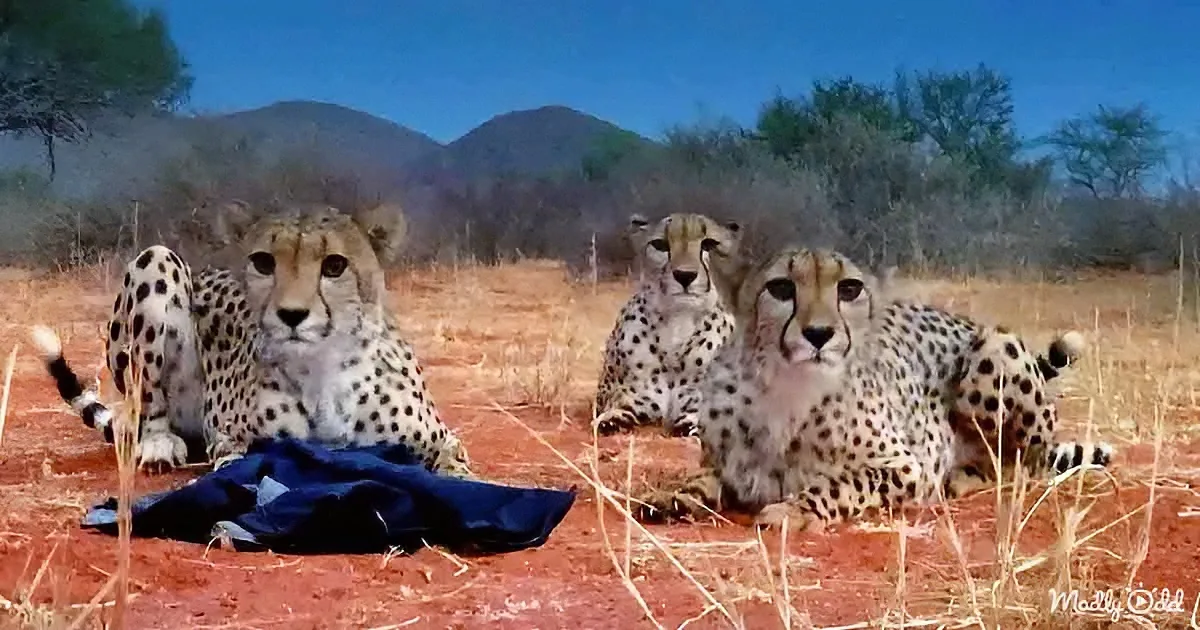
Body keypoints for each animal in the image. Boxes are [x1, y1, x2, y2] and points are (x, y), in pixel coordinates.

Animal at [31, 200, 471, 477]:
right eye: (263, 262)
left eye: (335, 265)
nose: (291, 315)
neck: (320, 367)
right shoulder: (230, 439)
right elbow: (236, 460)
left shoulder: (441, 439)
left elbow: (457, 467)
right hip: (156, 261)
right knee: (149, 406)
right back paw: (159, 445)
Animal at [592, 213, 743, 438]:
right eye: (660, 245)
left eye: (709, 244)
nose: (685, 275)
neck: (677, 323)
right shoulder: (636, 395)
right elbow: (619, 405)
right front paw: (611, 420)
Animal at [636, 246, 1115, 531]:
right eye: (780, 288)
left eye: (849, 289)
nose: (819, 334)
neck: (787, 388)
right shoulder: (728, 463)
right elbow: (702, 478)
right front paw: (673, 497)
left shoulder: (905, 467)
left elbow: (840, 484)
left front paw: (794, 510)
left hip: (995, 350)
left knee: (1025, 462)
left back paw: (965, 477)